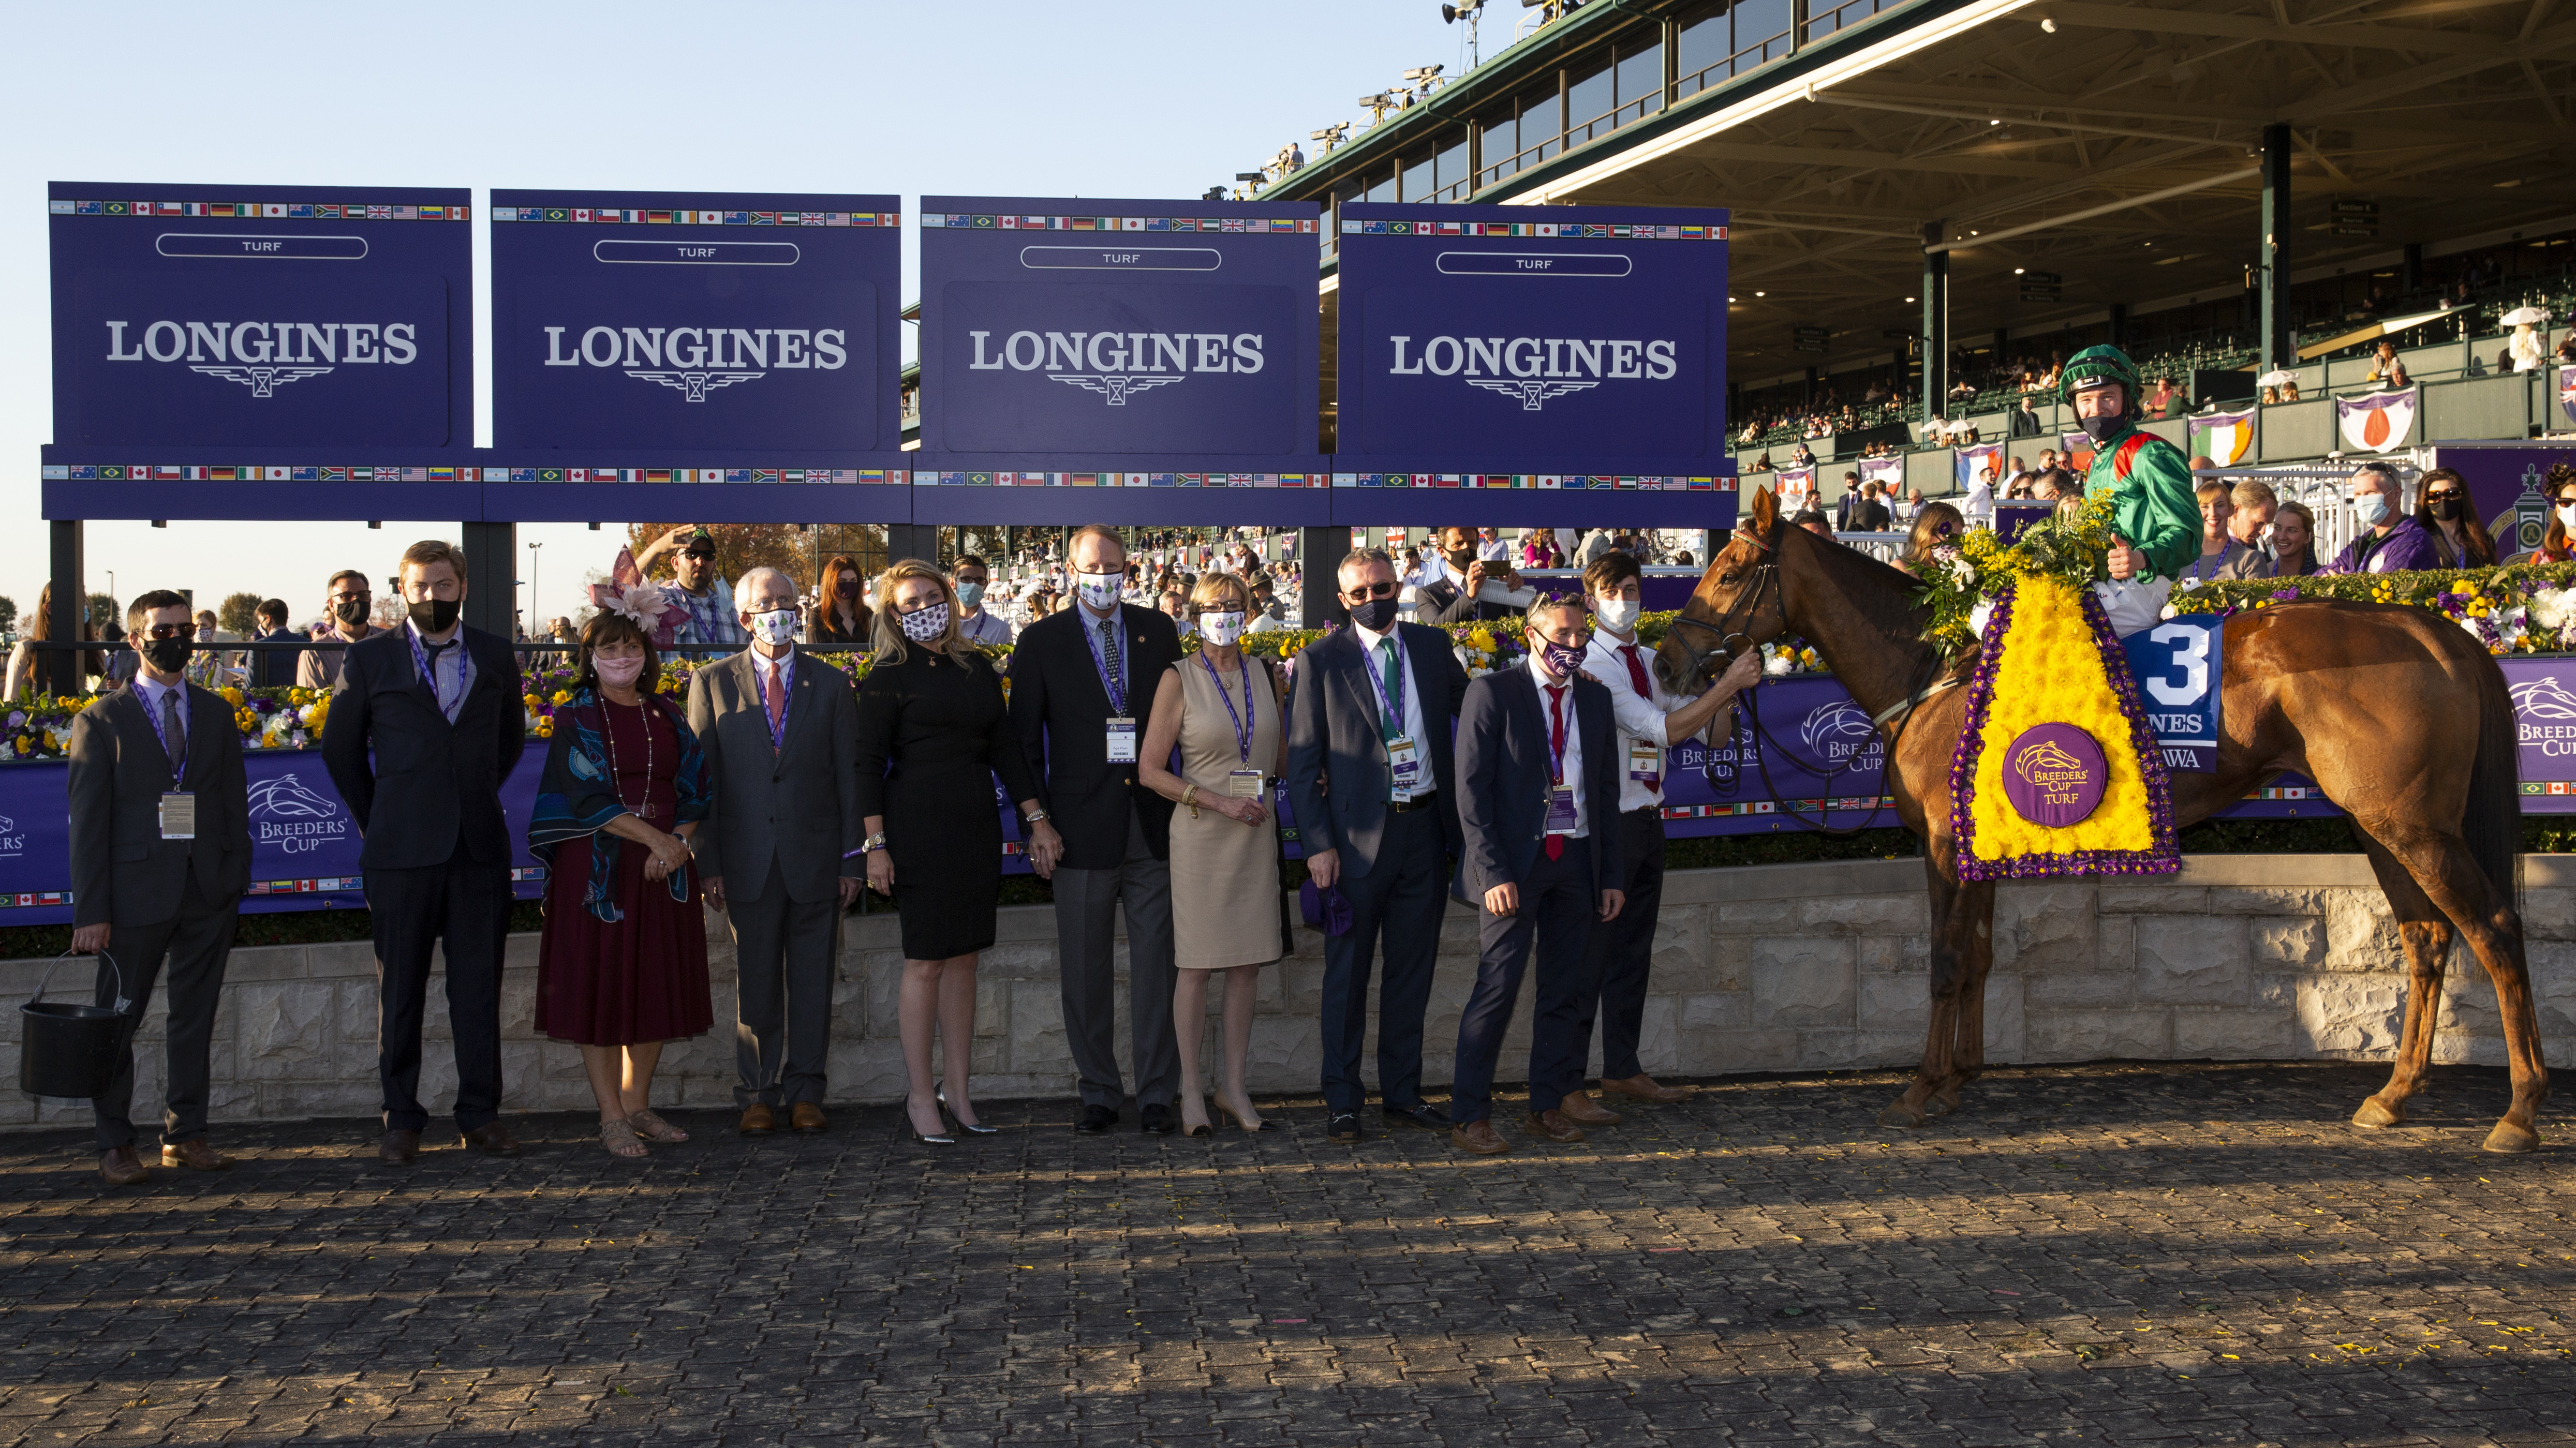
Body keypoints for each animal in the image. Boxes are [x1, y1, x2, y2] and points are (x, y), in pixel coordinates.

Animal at [1659, 484, 2545, 1149]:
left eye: (1731, 570)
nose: (1667, 659)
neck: (1937, 665)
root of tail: (2429, 627)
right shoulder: (1980, 844)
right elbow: (1977, 956)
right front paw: (1959, 1077)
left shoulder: (1943, 842)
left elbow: (1944, 958)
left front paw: (1919, 1087)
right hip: (2378, 821)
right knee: (2427, 935)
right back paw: (2392, 1094)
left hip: (2412, 825)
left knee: (2494, 927)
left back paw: (2518, 1109)